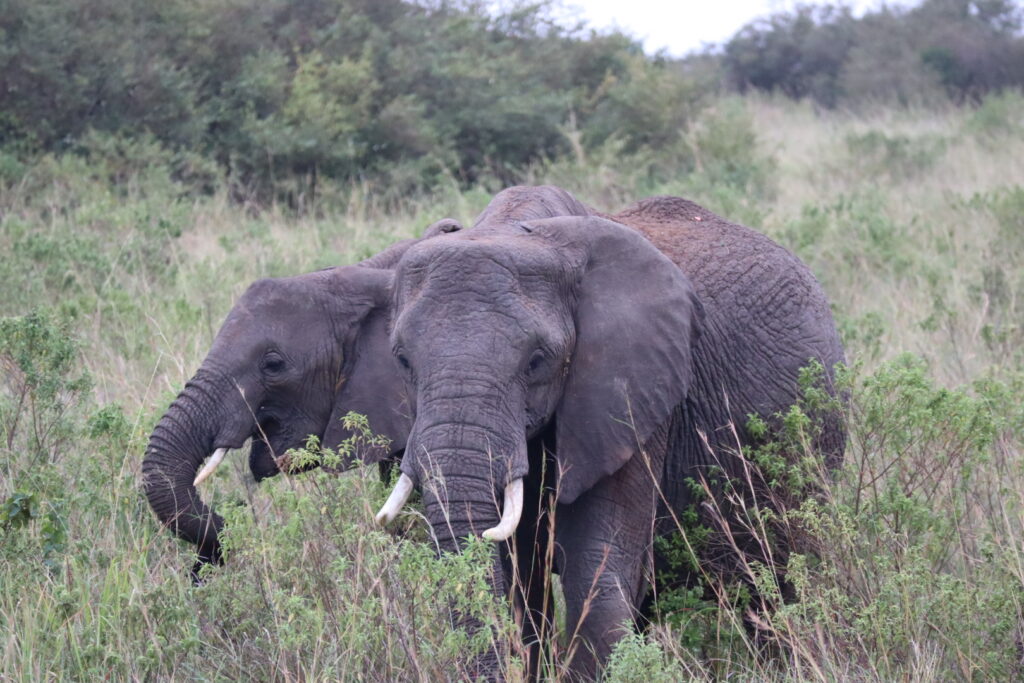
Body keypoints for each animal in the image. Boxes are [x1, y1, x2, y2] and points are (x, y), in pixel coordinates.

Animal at [376, 185, 847, 679]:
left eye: (537, 361)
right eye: (402, 359)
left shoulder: (634, 395)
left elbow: (596, 572)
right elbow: (521, 581)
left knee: (779, 585)